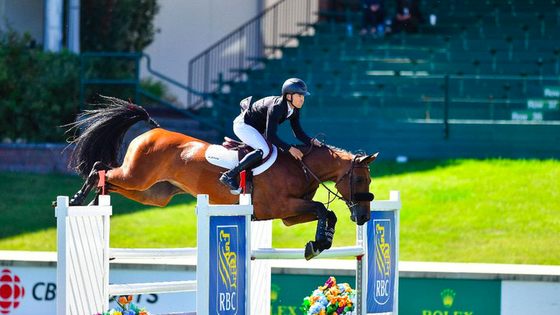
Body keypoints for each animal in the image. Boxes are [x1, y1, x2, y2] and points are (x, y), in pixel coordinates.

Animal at [66, 97, 376, 260]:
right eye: (360, 181)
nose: (363, 218)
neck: (301, 167)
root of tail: (153, 130)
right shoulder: (282, 206)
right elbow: (323, 208)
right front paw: (317, 244)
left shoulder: (289, 214)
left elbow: (327, 213)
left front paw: (319, 242)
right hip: (137, 176)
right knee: (99, 168)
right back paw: (77, 200)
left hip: (153, 193)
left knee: (111, 182)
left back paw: (93, 204)